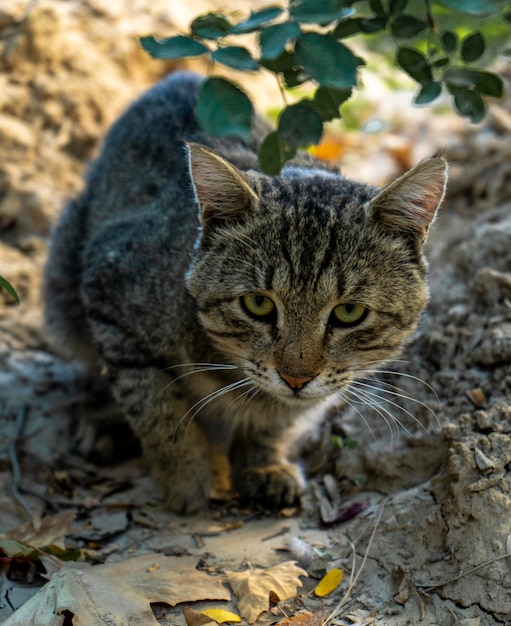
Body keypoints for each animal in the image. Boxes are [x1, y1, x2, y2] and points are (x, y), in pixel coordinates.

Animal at [44, 72, 448, 512]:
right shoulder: (109, 292)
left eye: (349, 313)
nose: (295, 377)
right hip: (62, 280)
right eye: (258, 304)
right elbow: (154, 404)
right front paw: (184, 478)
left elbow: (277, 424)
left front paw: (262, 464)